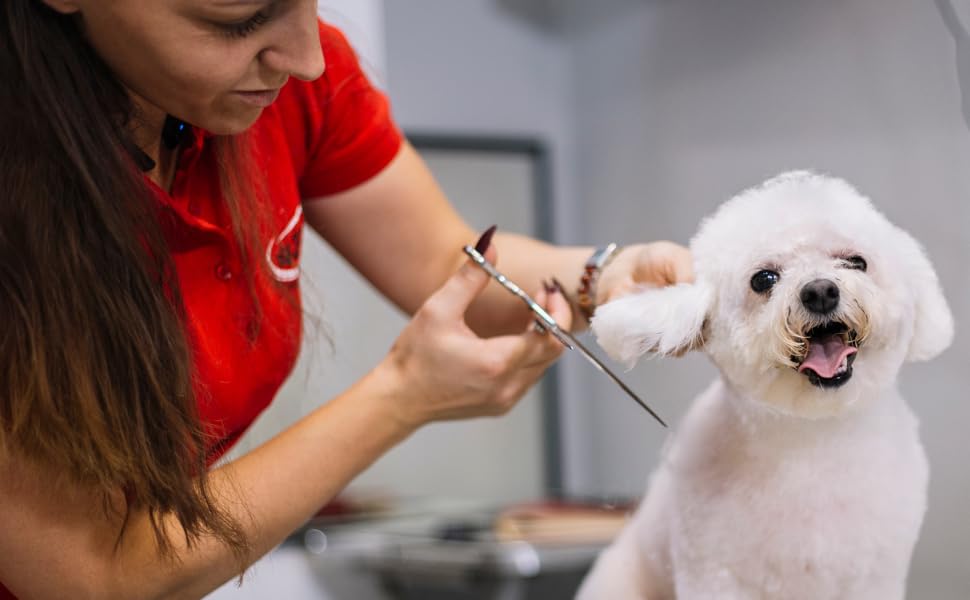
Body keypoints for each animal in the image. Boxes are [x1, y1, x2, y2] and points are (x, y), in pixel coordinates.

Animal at [576, 171, 952, 596]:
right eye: (764, 279)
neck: (813, 440)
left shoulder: (875, 576)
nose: (820, 291)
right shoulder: (714, 575)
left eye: (857, 262)